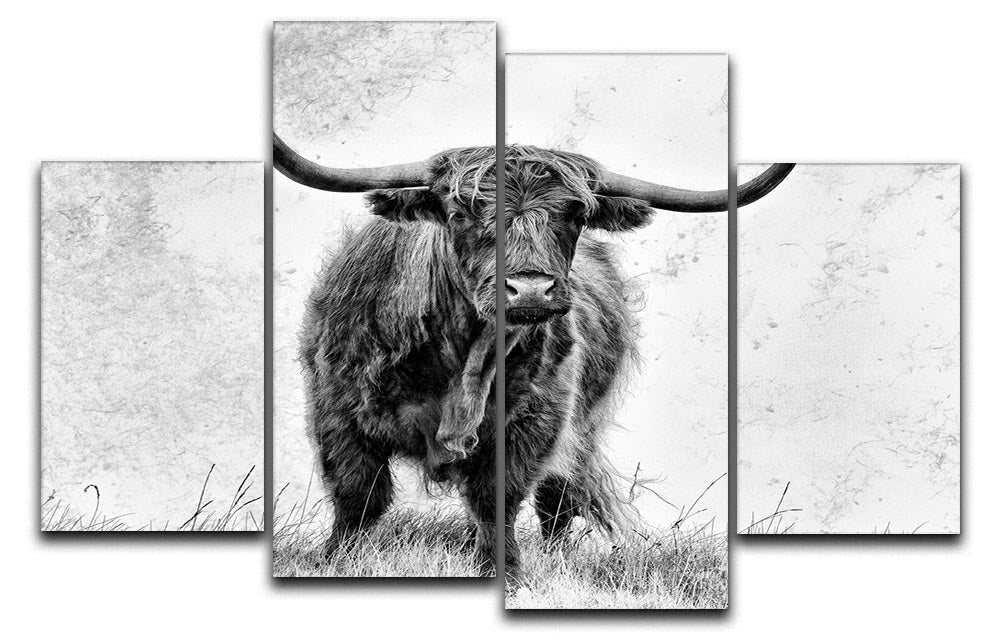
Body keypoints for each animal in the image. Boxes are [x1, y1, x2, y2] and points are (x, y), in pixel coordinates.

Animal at [273, 133, 793, 583]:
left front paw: (506, 574)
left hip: (581, 429)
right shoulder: (339, 415)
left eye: (576, 213)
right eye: (460, 211)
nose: (529, 290)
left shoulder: (537, 425)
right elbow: (358, 498)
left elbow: (497, 500)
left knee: (557, 502)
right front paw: (335, 562)